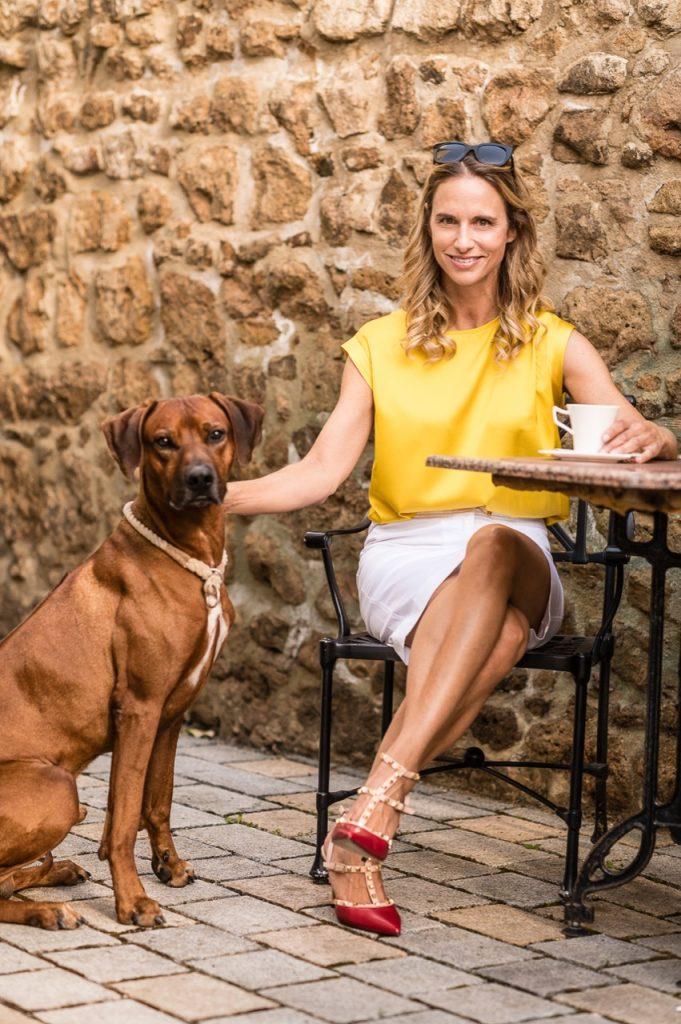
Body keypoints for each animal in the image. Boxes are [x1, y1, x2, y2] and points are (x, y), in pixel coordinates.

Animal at [0, 392, 264, 928]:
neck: (191, 555)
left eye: (215, 433)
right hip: (56, 785)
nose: (200, 479)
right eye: (162, 441)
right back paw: (48, 910)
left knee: (9, 878)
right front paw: (133, 901)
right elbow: (123, 818)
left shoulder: (172, 713)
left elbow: (157, 801)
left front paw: (169, 865)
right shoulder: (139, 707)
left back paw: (55, 874)